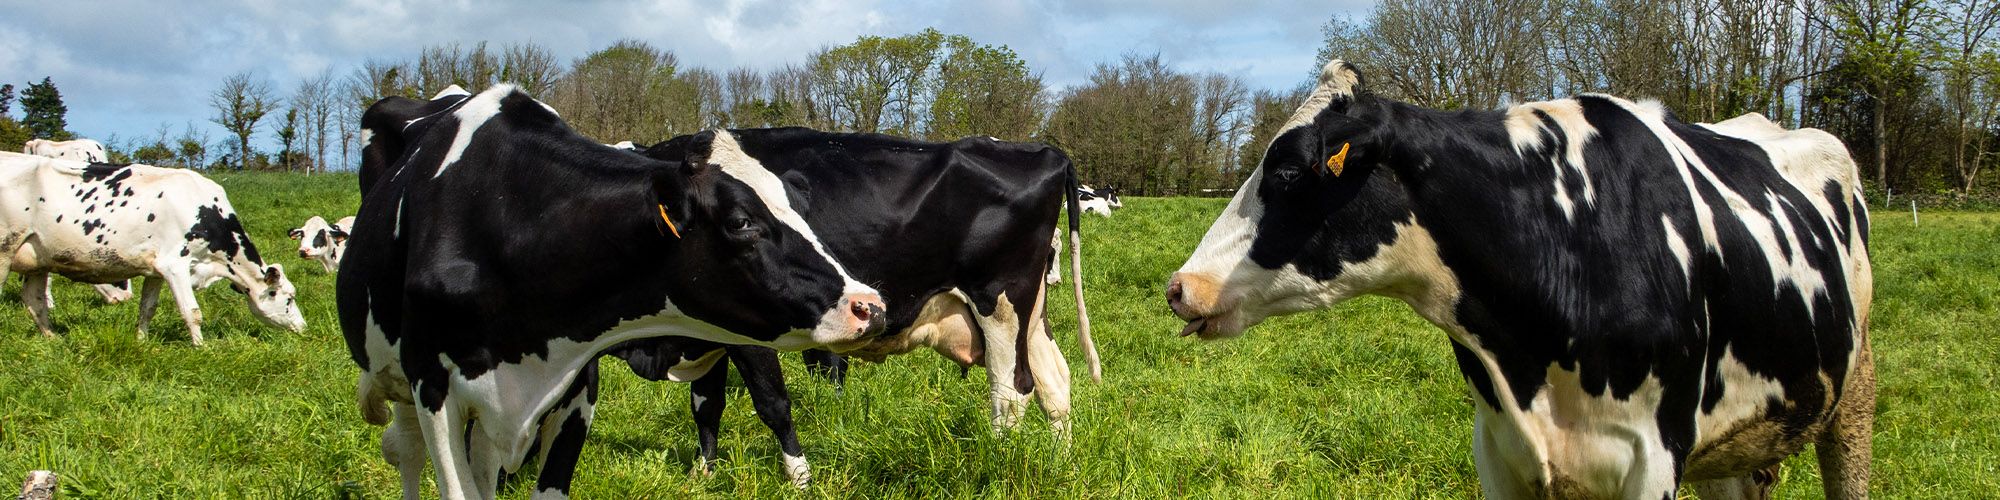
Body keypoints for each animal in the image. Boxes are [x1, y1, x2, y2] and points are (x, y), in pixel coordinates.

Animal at [0, 152, 307, 345]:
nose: (304, 327)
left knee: (34, 301)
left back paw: (53, 339)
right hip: (5, 249)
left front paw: (141, 341)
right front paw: (202, 347)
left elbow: (147, 309)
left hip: (38, 259)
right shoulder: (176, 265)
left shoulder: (155, 270)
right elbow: (192, 312)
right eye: (289, 298)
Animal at [338, 85, 888, 500]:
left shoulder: (578, 378)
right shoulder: (432, 387)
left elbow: (730, 401)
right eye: (741, 222)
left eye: (800, 208)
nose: (870, 305)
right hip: (400, 377)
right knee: (408, 450)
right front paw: (799, 479)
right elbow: (767, 399)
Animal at [594, 128, 1101, 485]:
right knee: (1055, 383)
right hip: (1030, 313)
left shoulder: (751, 334)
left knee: (1012, 391)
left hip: (999, 300)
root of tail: (1044, 151)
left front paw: (799, 478)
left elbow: (773, 404)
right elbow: (705, 405)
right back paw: (1060, 462)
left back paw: (997, 461)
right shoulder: (703, 330)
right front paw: (702, 476)